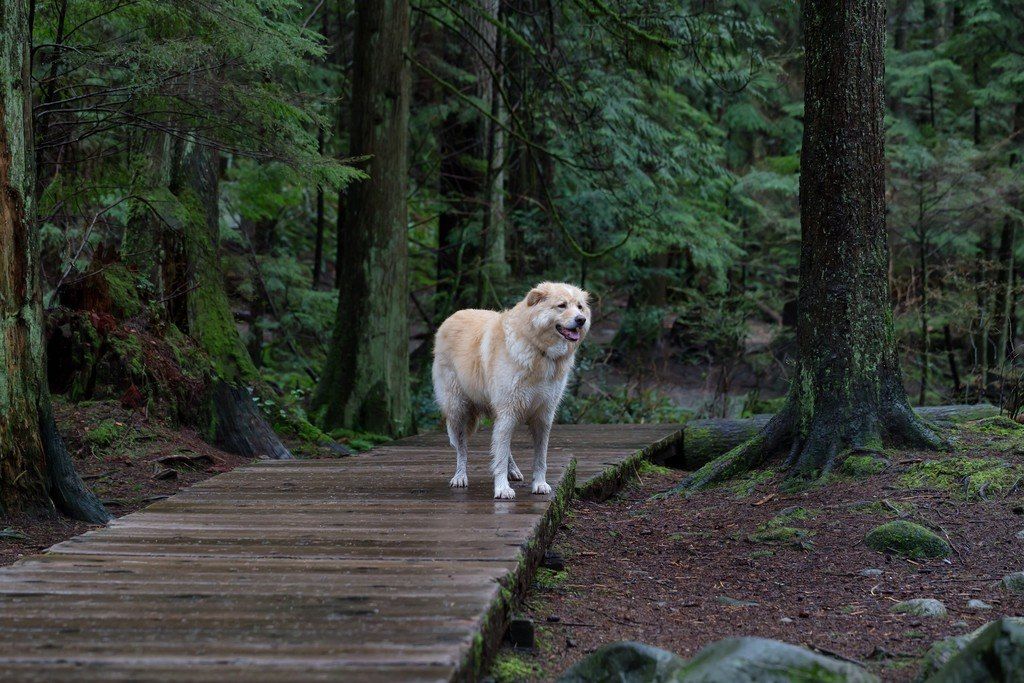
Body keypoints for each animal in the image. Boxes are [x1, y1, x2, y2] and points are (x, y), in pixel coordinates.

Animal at [432, 280, 593, 499]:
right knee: (462, 449)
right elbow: (498, 456)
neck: (539, 351)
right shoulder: (508, 410)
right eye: (562, 305)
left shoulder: (542, 416)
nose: (581, 320)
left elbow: (539, 458)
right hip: (458, 410)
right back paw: (460, 477)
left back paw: (514, 471)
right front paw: (502, 488)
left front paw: (539, 484)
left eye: (580, 307)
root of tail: (451, 317)